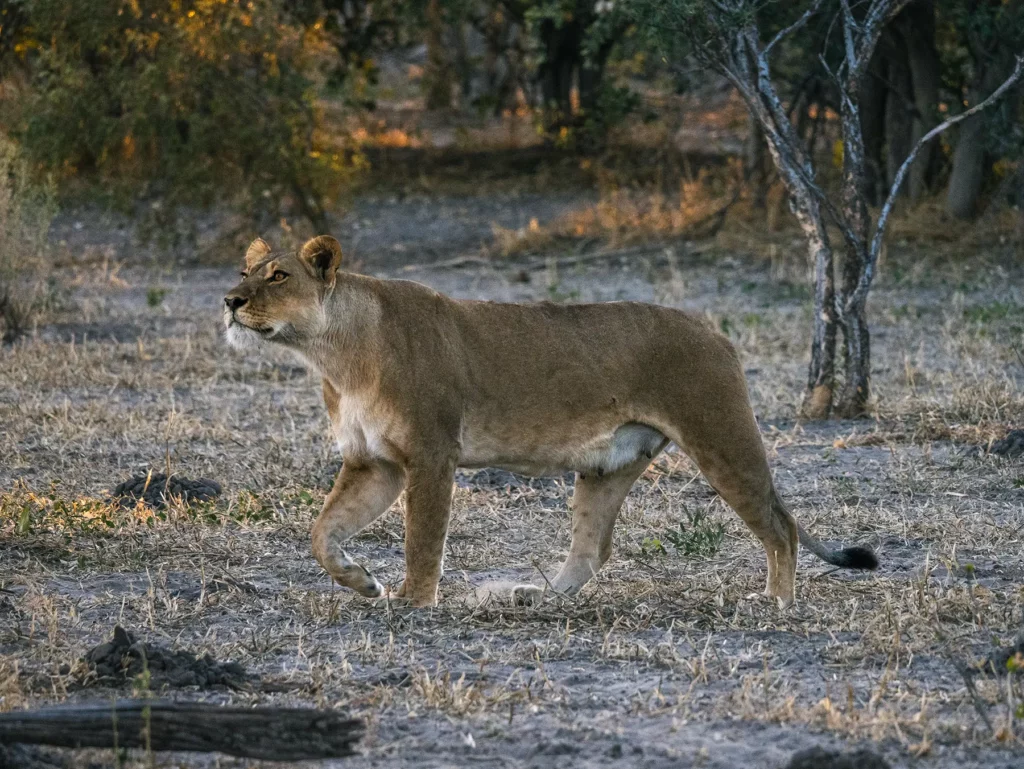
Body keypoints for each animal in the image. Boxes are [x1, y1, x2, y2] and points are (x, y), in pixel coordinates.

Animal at [224, 235, 877, 608]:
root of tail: (715, 332)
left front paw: (414, 603)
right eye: (244, 271)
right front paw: (363, 582)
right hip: (608, 467)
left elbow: (422, 540)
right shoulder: (374, 462)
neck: (335, 354)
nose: (229, 301)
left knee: (780, 525)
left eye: (279, 275)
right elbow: (322, 533)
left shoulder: (432, 454)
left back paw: (777, 605)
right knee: (592, 551)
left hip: (721, 437)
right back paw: (532, 597)